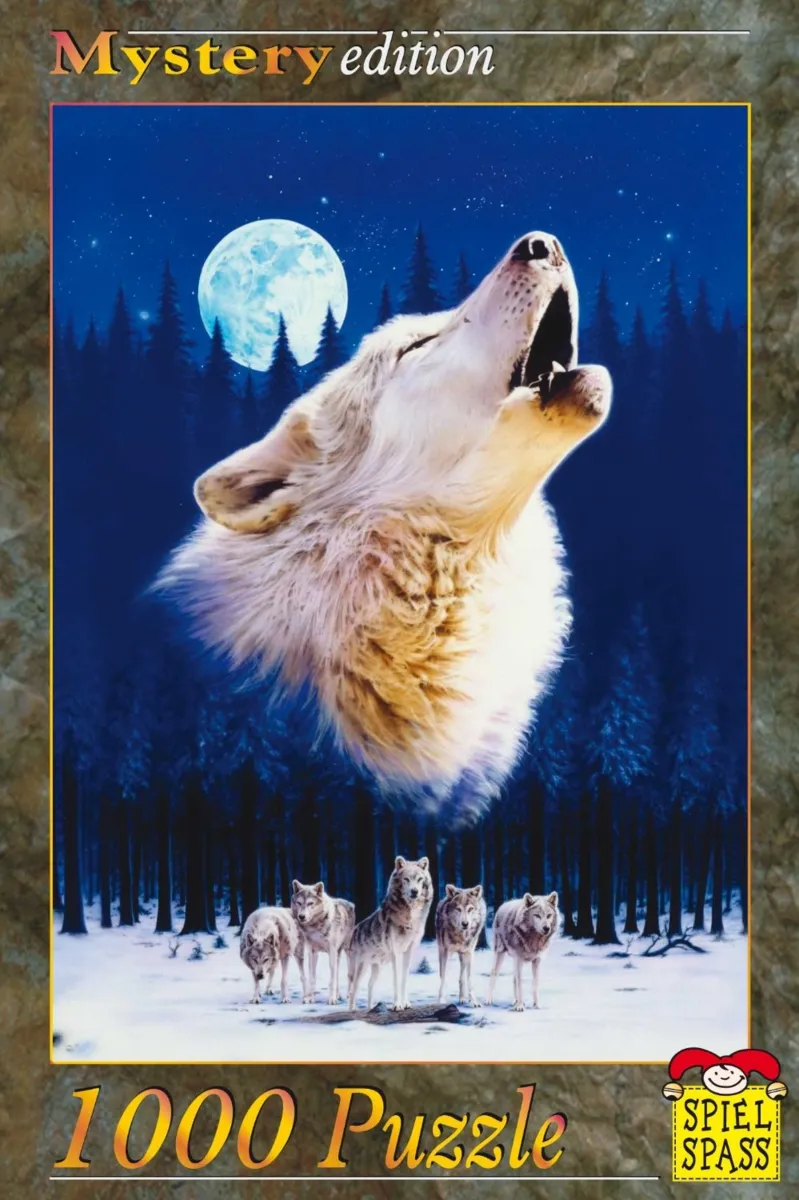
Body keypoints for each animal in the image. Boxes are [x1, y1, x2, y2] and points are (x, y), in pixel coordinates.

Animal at [347, 856, 432, 1011]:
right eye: (406, 879)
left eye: (419, 879)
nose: (414, 891)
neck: (410, 918)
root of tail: (355, 930)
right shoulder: (395, 953)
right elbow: (396, 980)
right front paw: (397, 1005)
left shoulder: (408, 951)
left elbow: (404, 979)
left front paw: (406, 1003)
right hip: (360, 968)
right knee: (353, 990)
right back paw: (352, 1011)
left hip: (377, 968)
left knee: (370, 985)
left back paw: (371, 1008)